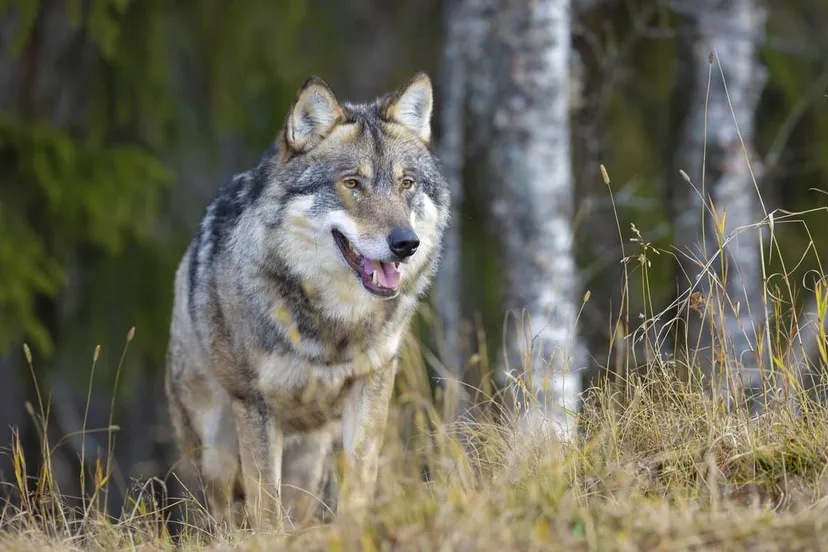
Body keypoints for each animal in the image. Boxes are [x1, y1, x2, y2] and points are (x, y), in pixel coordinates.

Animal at [165, 72, 449, 528]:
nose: (406, 243)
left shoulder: (372, 385)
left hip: (308, 461)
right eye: (352, 183)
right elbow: (265, 505)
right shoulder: (256, 406)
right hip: (214, 451)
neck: (335, 326)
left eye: (406, 184)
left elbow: (360, 478)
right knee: (219, 515)